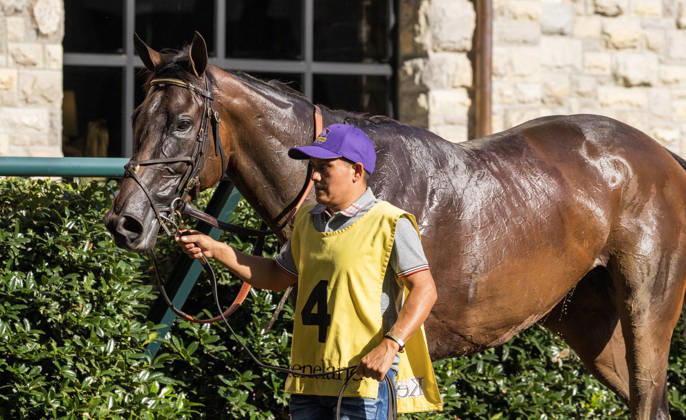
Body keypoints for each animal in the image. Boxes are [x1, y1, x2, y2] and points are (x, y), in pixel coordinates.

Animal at [105, 33, 686, 419]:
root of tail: (664, 157)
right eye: (135, 117)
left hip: (646, 309)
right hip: (588, 319)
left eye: (183, 123)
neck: (356, 178)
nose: (125, 222)